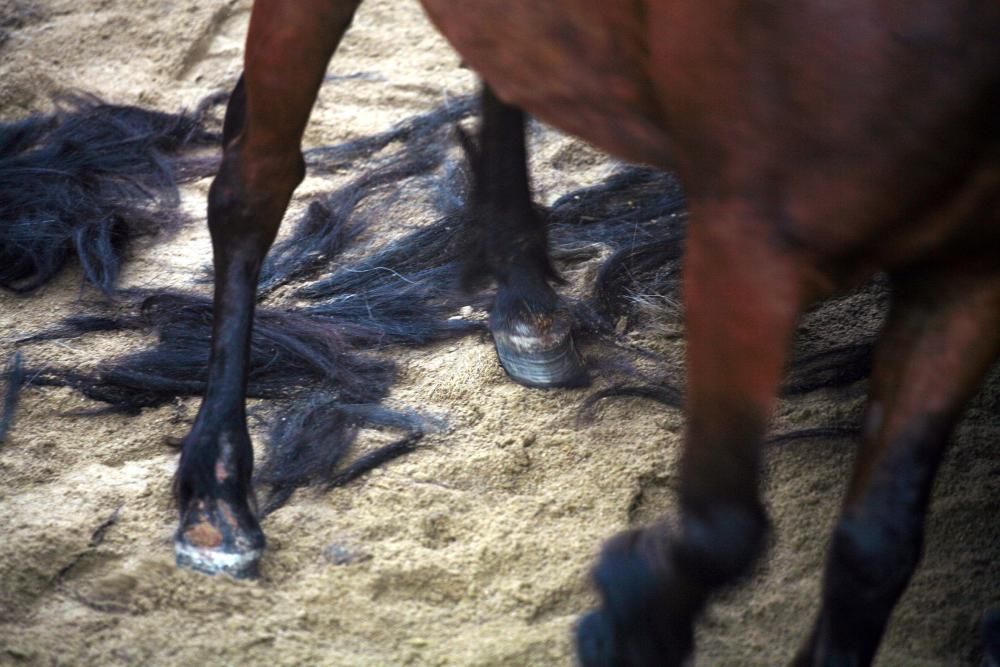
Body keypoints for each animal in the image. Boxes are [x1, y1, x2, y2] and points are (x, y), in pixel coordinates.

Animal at [176, 1, 1000, 667]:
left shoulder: (965, 276)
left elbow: (875, 546)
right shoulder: (746, 246)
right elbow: (723, 523)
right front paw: (626, 618)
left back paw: (524, 301)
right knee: (252, 183)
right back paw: (215, 497)